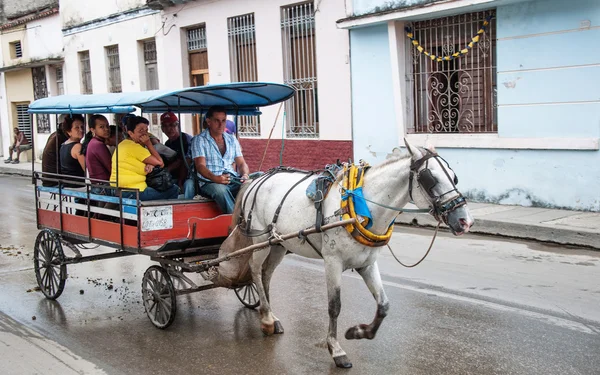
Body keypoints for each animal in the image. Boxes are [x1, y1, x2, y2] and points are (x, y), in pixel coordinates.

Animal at [232, 140, 472, 368]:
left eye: (454, 177)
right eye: (430, 178)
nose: (465, 221)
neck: (360, 205)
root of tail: (256, 179)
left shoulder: (367, 263)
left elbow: (384, 305)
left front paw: (358, 332)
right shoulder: (332, 262)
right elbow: (334, 306)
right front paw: (336, 350)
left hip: (279, 245)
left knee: (266, 274)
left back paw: (271, 316)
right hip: (260, 240)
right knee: (255, 271)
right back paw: (266, 319)